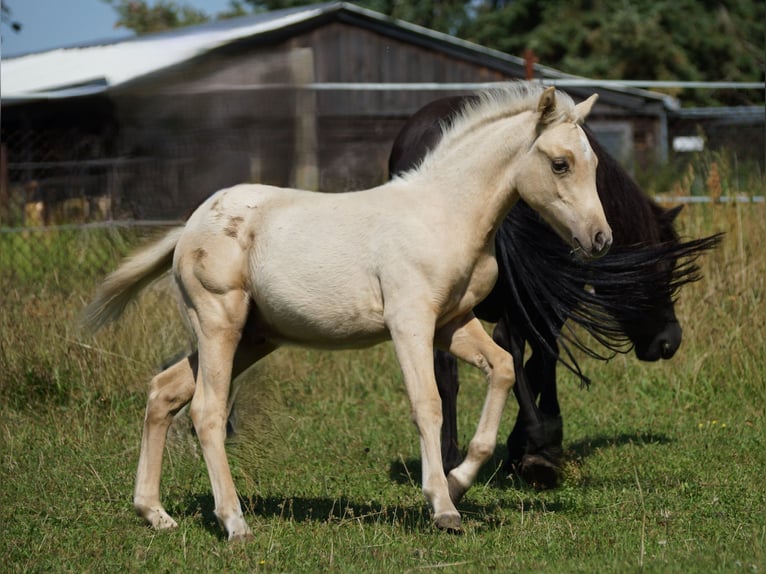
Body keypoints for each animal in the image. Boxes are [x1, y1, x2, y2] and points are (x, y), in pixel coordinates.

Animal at [84, 83, 612, 544]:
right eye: (560, 164)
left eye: (593, 163)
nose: (600, 239)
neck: (445, 215)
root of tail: (190, 225)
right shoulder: (410, 322)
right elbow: (428, 404)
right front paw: (443, 508)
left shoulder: (452, 324)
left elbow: (501, 369)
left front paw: (460, 481)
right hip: (220, 325)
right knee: (206, 411)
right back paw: (234, 523)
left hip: (254, 336)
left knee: (164, 391)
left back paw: (154, 513)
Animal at [392, 95, 724, 490]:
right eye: (664, 269)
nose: (669, 341)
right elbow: (540, 356)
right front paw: (537, 443)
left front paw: (524, 445)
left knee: (448, 370)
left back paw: (449, 457)